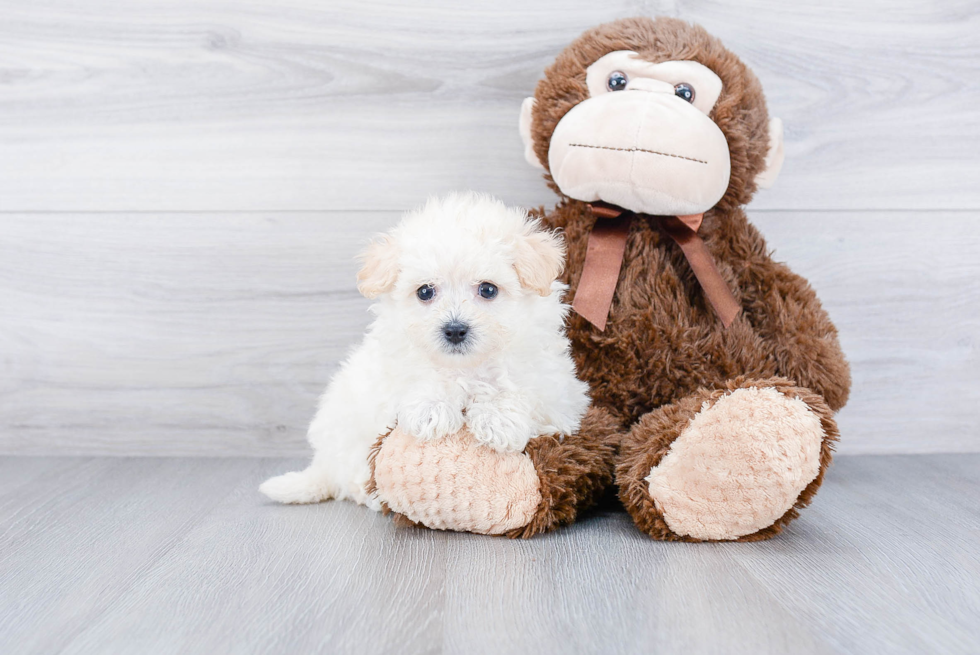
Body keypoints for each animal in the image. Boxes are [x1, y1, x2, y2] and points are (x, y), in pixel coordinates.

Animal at [256, 192, 588, 510]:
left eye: (488, 289)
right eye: (425, 292)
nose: (454, 330)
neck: (467, 367)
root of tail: (324, 466)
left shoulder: (558, 393)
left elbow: (521, 389)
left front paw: (497, 418)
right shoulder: (389, 372)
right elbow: (419, 378)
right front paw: (433, 407)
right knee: (353, 479)